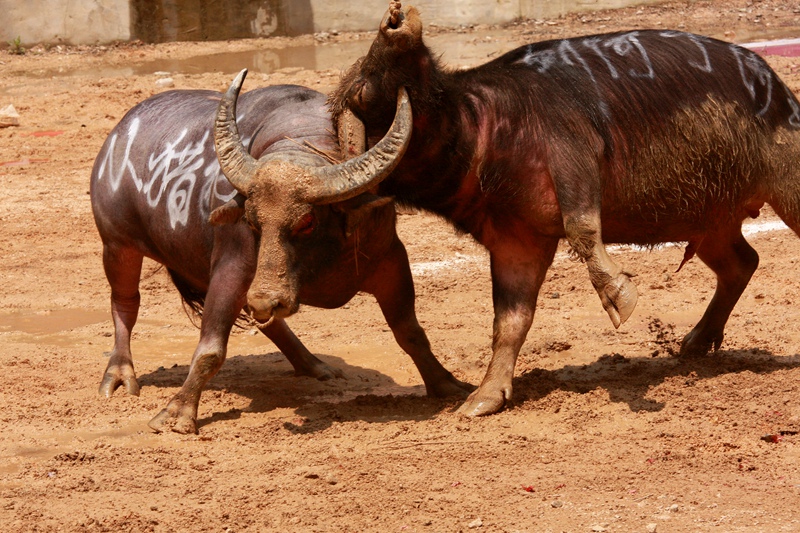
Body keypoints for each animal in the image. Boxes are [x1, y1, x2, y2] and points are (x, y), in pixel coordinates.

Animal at [92, 69, 468, 432]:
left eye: (306, 221)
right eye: (252, 220)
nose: (266, 299)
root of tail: (117, 135)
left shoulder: (390, 259)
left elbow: (411, 333)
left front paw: (447, 385)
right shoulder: (232, 268)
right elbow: (210, 349)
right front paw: (178, 412)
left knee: (268, 322)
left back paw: (312, 363)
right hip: (117, 246)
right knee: (125, 303)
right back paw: (119, 374)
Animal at [328, 3, 800, 416]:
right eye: (363, 90)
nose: (395, 17)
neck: (486, 129)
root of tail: (780, 93)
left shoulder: (573, 151)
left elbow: (582, 228)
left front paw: (620, 297)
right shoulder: (516, 241)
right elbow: (510, 320)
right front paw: (482, 399)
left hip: (785, 188)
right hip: (711, 222)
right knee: (742, 262)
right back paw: (696, 341)